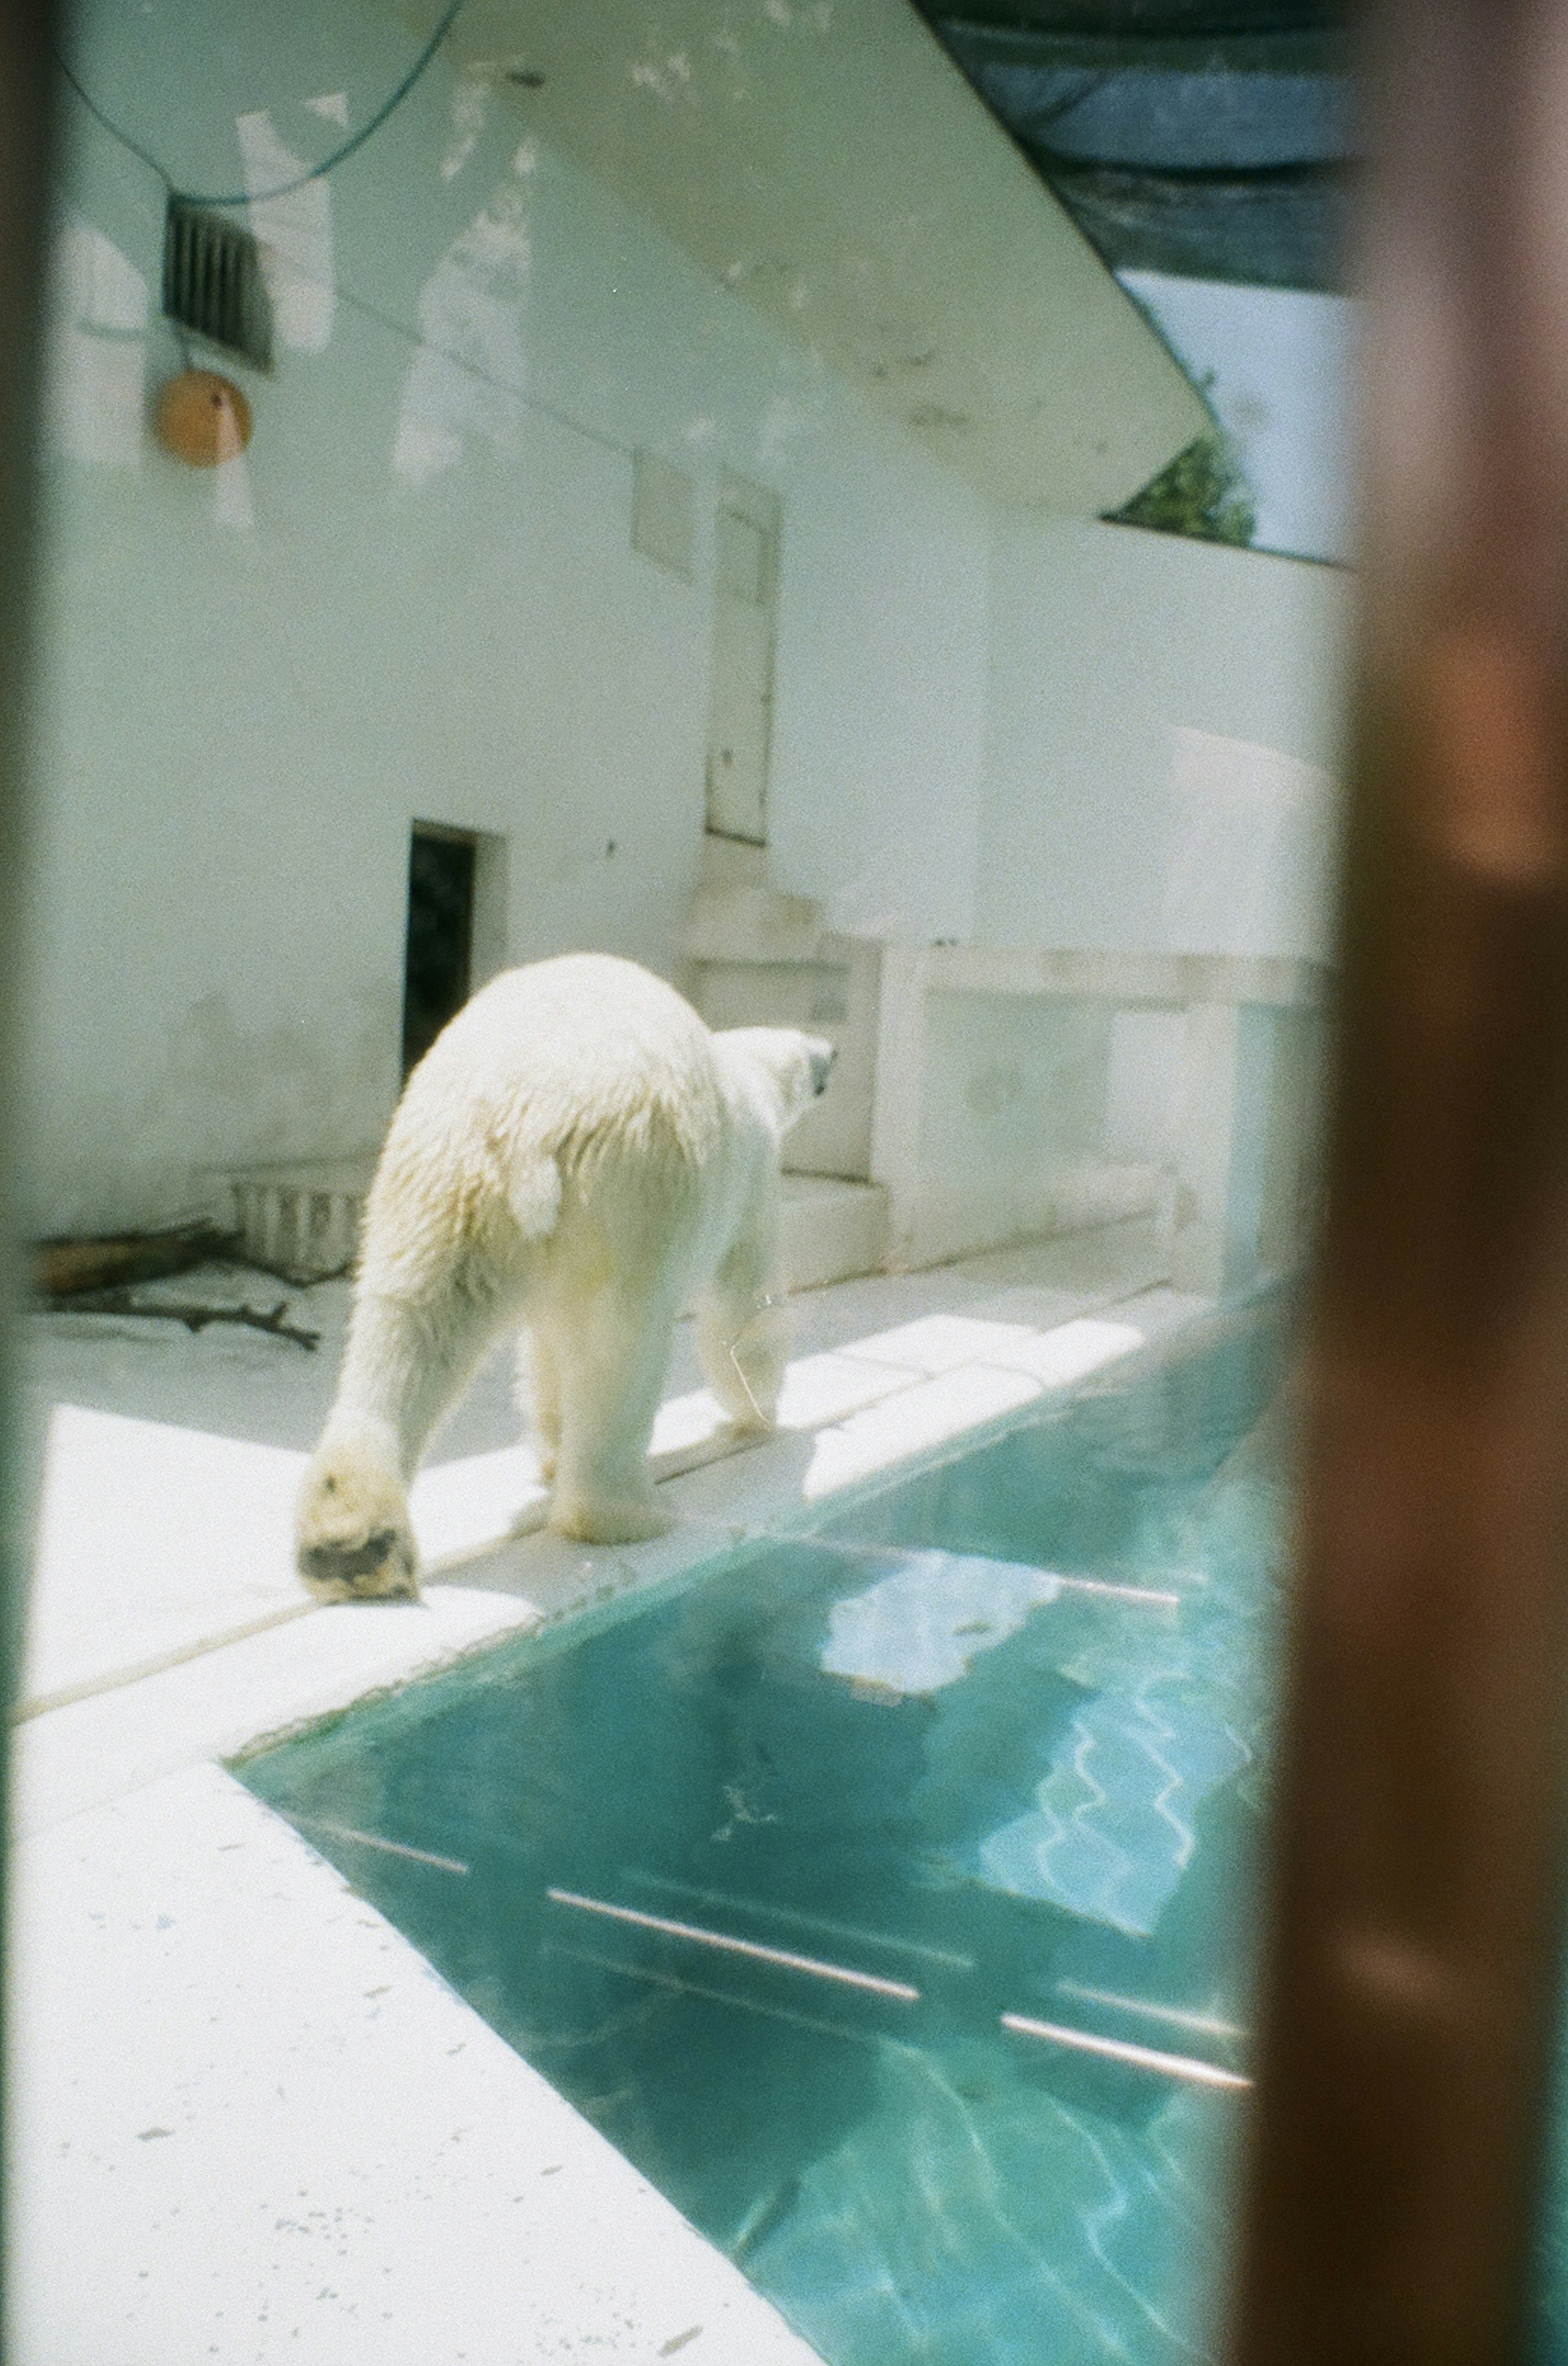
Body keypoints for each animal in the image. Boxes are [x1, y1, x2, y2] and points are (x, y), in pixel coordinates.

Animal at [295, 951, 832, 1599]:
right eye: (815, 1055)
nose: (832, 1049)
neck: (748, 1077)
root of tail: (529, 1118)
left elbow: (544, 1348)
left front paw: (550, 1451)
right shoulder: (751, 1182)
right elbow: (744, 1311)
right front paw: (761, 1415)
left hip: (437, 1174)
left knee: (411, 1319)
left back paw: (348, 1540)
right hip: (631, 1191)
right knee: (619, 1351)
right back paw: (629, 1514)